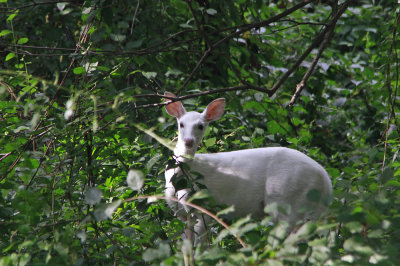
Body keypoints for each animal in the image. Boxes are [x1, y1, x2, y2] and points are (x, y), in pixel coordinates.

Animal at [164, 92, 332, 246]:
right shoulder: (180, 213)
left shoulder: (203, 208)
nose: (189, 141)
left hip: (287, 199)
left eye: (200, 126)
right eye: (181, 124)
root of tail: (326, 182)